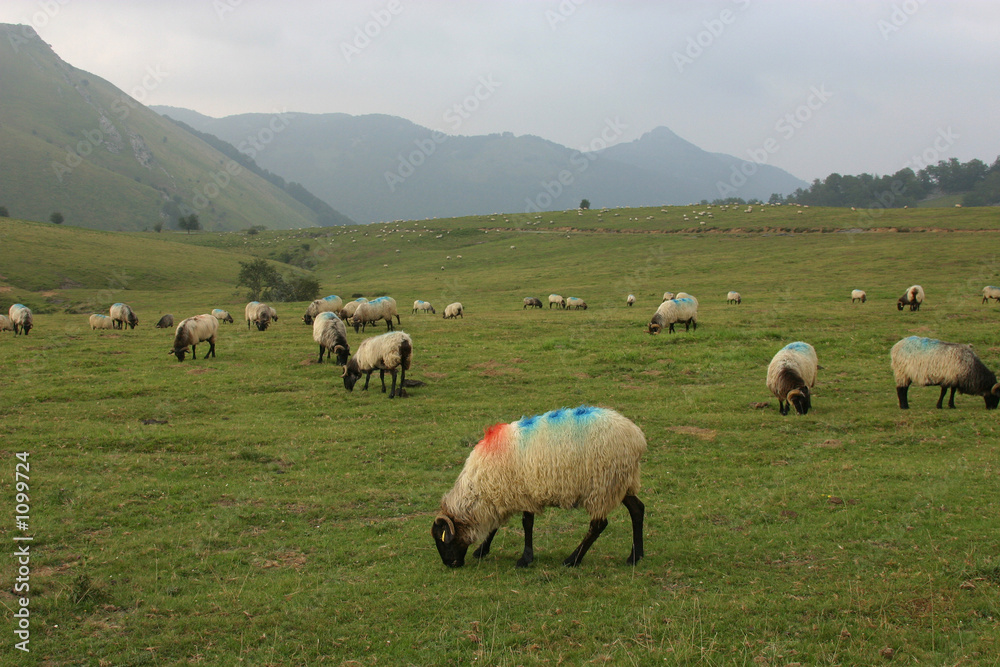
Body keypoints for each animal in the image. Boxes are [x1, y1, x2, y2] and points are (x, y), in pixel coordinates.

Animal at [432, 408, 648, 568]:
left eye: (442, 540)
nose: (450, 564)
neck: (479, 490)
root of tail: (637, 438)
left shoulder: (523, 493)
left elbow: (527, 524)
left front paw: (525, 559)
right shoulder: (501, 495)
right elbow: (495, 525)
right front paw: (482, 551)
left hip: (601, 486)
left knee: (598, 525)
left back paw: (572, 560)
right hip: (620, 483)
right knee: (637, 509)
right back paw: (635, 556)